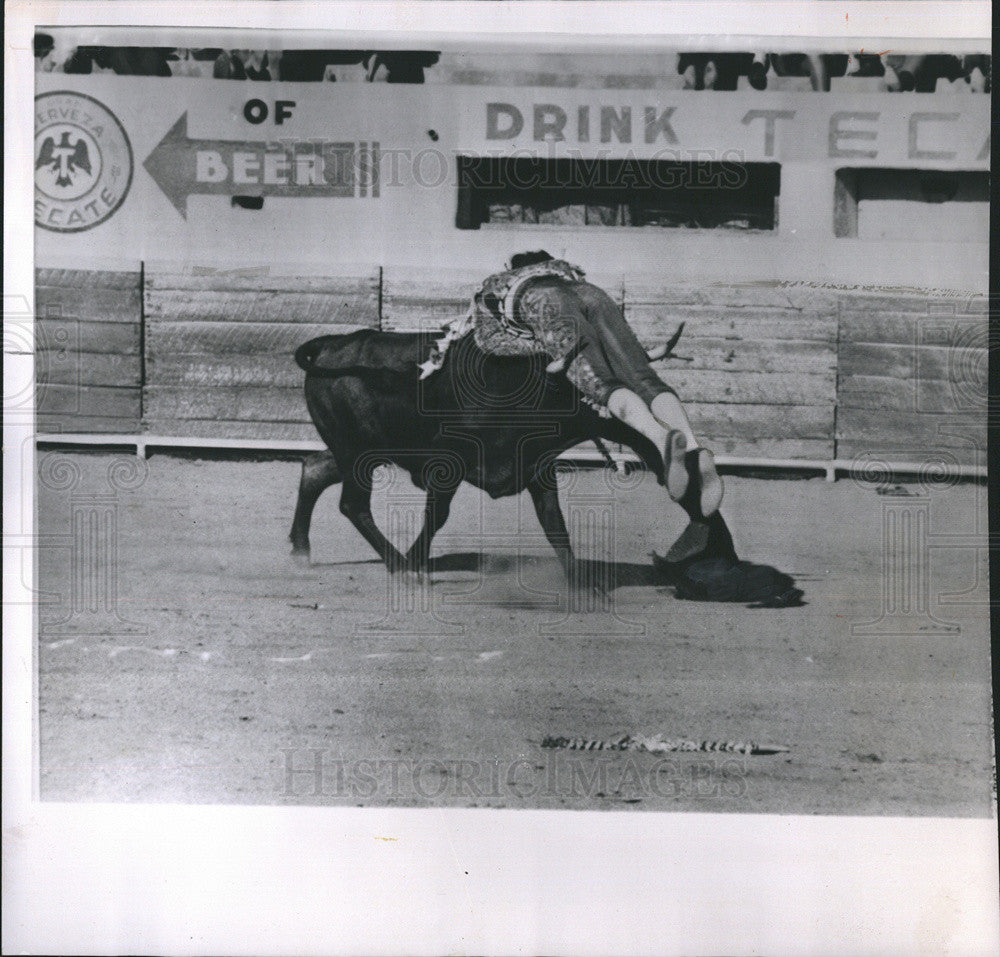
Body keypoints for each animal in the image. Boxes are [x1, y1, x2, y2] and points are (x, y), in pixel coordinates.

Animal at [290, 324, 804, 600]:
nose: (654, 446)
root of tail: (329, 345)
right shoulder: (449, 466)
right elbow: (438, 516)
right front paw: (417, 563)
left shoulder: (538, 468)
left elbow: (555, 524)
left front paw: (580, 582)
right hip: (358, 453)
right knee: (352, 504)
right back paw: (398, 565)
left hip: (354, 451)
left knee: (314, 470)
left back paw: (301, 551)